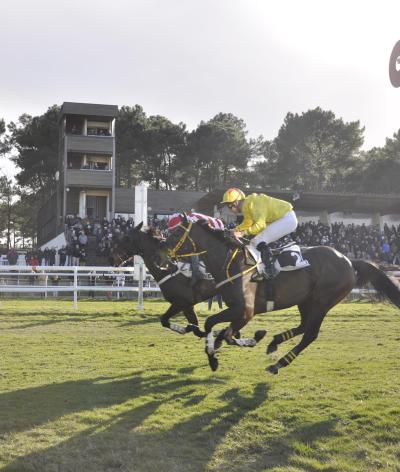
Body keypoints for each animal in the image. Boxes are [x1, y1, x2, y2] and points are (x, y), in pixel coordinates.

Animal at [162, 218, 400, 376]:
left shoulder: (245, 310)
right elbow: (221, 330)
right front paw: (220, 348)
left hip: (322, 301)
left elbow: (218, 328)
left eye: (175, 234)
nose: (164, 254)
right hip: (306, 300)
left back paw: (278, 363)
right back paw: (274, 343)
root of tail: (349, 260)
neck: (230, 262)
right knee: (304, 326)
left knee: (310, 334)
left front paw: (218, 354)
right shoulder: (238, 311)